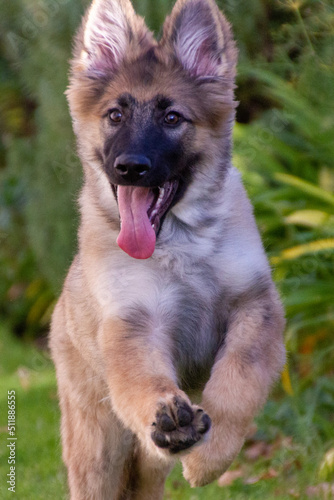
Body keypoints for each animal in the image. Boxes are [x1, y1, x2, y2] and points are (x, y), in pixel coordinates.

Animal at [49, 0, 284, 496]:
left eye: (172, 118)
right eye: (115, 116)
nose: (129, 167)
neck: (182, 246)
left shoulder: (255, 307)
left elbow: (239, 381)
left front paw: (209, 459)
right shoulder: (134, 324)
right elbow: (143, 379)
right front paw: (172, 422)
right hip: (98, 446)